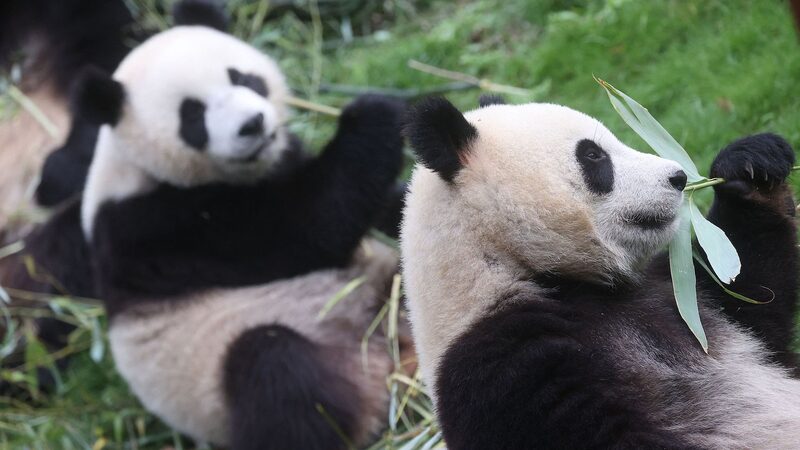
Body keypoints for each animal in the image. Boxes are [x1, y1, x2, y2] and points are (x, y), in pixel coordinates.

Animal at [31, 15, 410, 450]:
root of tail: (388, 367)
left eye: (242, 78)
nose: (253, 124)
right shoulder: (157, 228)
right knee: (275, 371)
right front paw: (373, 116)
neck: (132, 167)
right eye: (192, 115)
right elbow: (307, 226)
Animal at [400, 95, 800, 449]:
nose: (678, 177)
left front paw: (749, 165)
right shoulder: (501, 371)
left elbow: (755, 302)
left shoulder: (677, 297)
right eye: (593, 155)